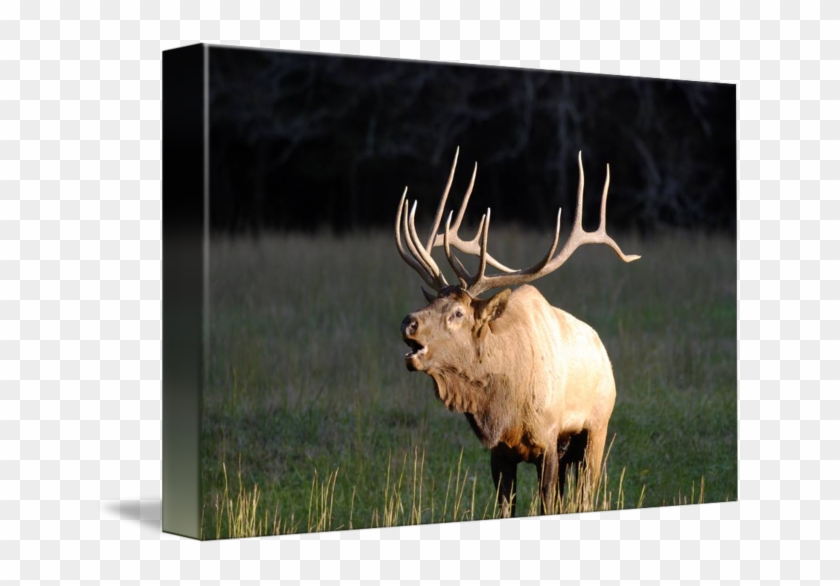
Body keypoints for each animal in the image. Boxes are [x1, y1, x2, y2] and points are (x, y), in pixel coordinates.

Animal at [395, 149, 640, 517]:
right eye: (433, 301)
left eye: (457, 313)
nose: (409, 322)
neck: (505, 406)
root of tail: (603, 353)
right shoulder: (500, 453)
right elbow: (506, 508)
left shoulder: (550, 441)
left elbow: (548, 505)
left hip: (596, 430)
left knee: (586, 496)